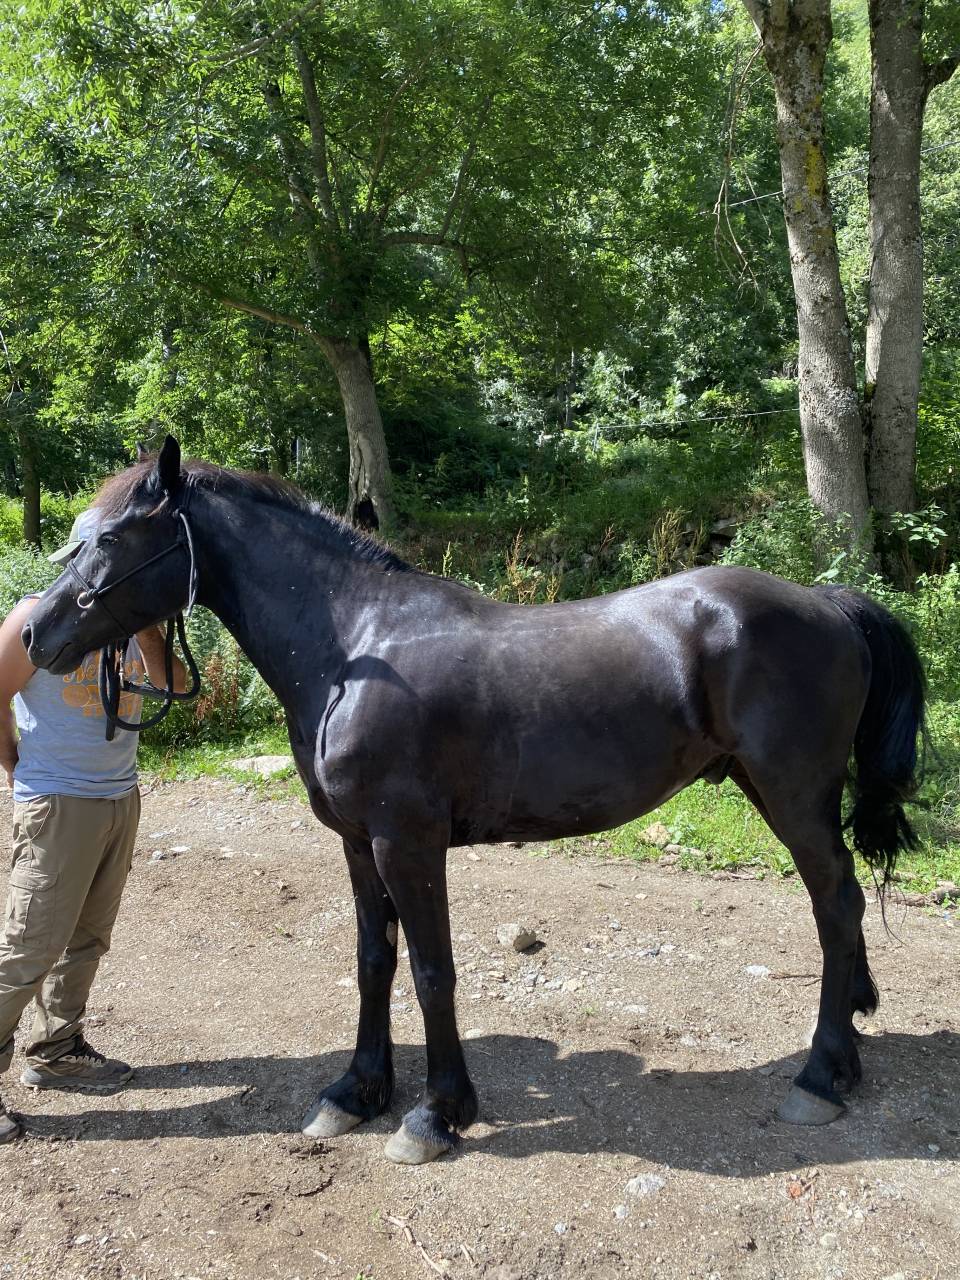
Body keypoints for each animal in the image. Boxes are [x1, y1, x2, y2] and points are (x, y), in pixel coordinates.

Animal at [23, 437, 925, 1164]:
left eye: (110, 538)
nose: (35, 635)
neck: (355, 647)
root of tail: (826, 601)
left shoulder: (408, 843)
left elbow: (432, 971)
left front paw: (437, 1112)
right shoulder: (356, 843)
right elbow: (374, 961)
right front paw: (355, 1092)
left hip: (793, 796)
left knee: (837, 906)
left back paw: (822, 1073)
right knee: (841, 904)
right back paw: (849, 1036)